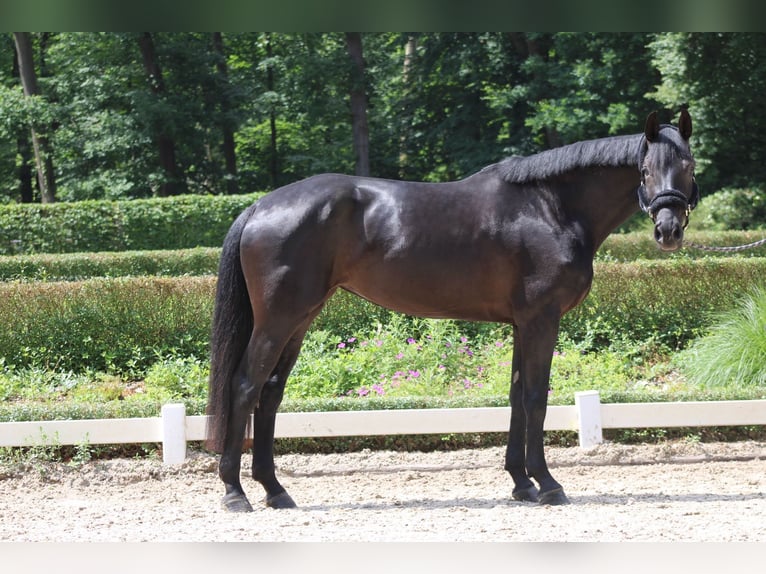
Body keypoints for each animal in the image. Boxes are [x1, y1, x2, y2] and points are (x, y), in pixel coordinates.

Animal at [206, 109, 704, 512]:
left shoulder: (522, 325)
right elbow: (535, 398)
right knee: (246, 386)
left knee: (270, 393)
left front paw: (521, 483)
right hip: (278, 319)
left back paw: (275, 490)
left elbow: (516, 397)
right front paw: (548, 484)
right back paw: (235, 492)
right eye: (645, 169)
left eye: (688, 165)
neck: (551, 206)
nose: (668, 230)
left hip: (300, 318)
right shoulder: (542, 321)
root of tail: (260, 206)